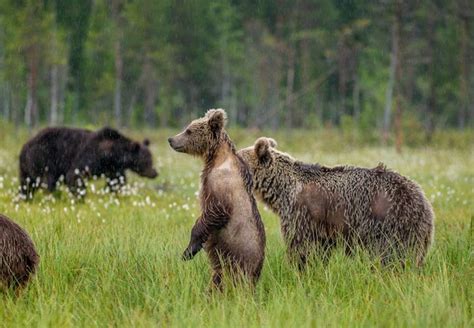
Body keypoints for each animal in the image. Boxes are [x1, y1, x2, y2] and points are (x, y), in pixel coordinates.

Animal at [19, 126, 158, 199]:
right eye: (147, 160)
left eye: (151, 158)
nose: (155, 173)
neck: (111, 154)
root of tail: (25, 146)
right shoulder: (88, 157)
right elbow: (75, 176)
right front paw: (80, 197)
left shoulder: (112, 168)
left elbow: (117, 181)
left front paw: (114, 193)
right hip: (44, 158)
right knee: (47, 180)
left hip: (25, 167)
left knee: (26, 184)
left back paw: (25, 198)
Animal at [168, 109, 266, 288]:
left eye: (189, 130)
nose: (171, 139)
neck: (215, 158)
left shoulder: (221, 187)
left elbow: (213, 214)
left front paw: (188, 251)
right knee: (218, 277)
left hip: (240, 257)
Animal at [239, 137, 436, 268]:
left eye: (238, 154)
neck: (282, 190)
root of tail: (423, 202)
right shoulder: (324, 229)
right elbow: (320, 251)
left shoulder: (302, 214)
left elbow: (301, 247)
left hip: (390, 223)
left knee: (390, 256)